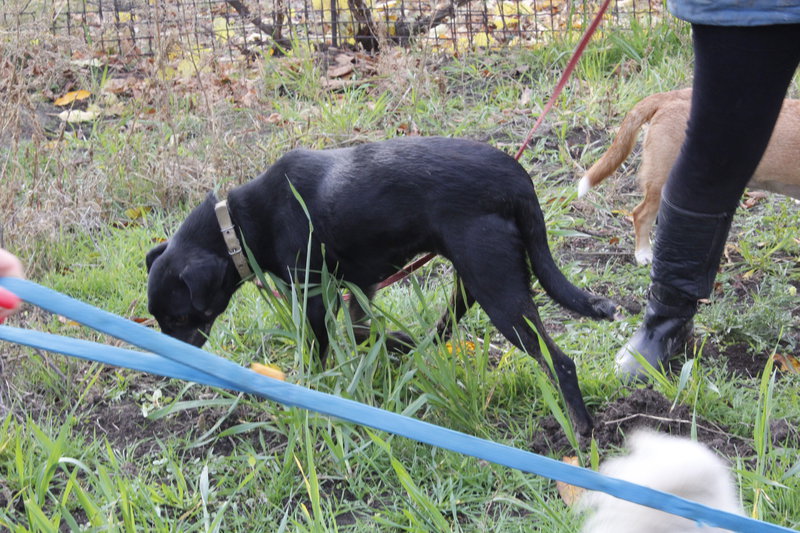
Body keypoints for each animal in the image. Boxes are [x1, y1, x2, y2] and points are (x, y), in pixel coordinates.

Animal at [145, 136, 620, 432]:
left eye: (179, 318)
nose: (166, 357)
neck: (240, 222)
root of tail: (519, 181)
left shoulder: (313, 294)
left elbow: (318, 350)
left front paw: (310, 390)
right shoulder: (361, 287)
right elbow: (361, 333)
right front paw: (391, 343)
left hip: (497, 289)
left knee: (559, 361)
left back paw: (579, 431)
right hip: (478, 275)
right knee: (450, 321)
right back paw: (417, 344)